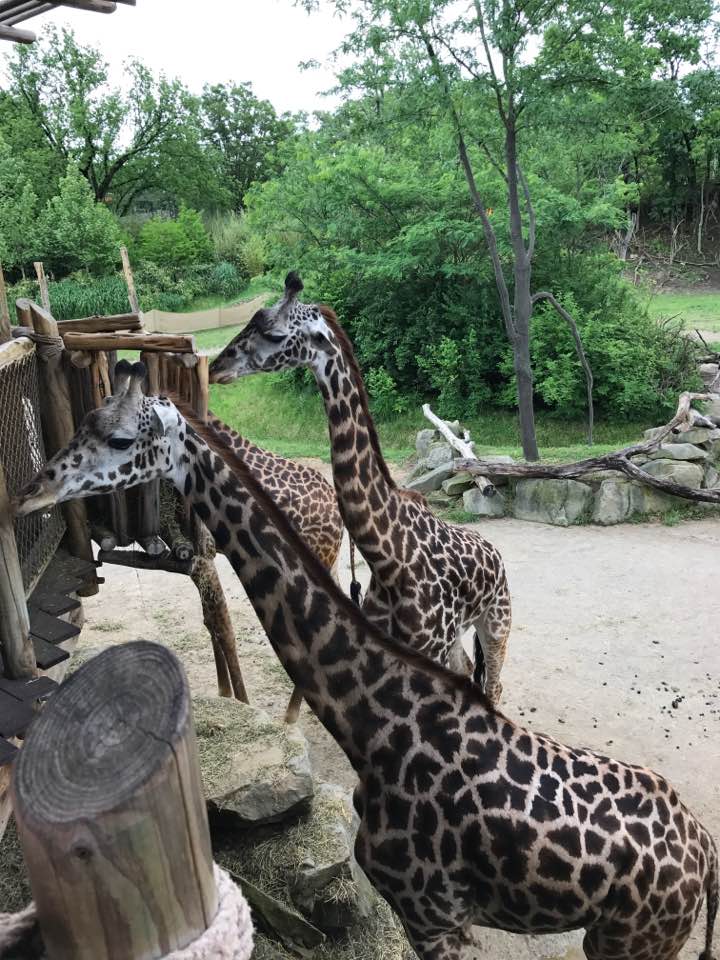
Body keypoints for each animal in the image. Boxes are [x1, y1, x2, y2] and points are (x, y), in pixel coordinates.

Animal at [16, 374, 718, 960]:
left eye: (119, 438)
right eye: (83, 420)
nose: (31, 491)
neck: (374, 727)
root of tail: (706, 855)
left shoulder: (433, 916)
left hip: (629, 941)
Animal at [209, 273, 511, 703]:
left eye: (273, 332)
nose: (217, 366)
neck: (388, 555)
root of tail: (496, 555)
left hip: (496, 620)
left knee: (493, 683)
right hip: (456, 637)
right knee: (469, 670)